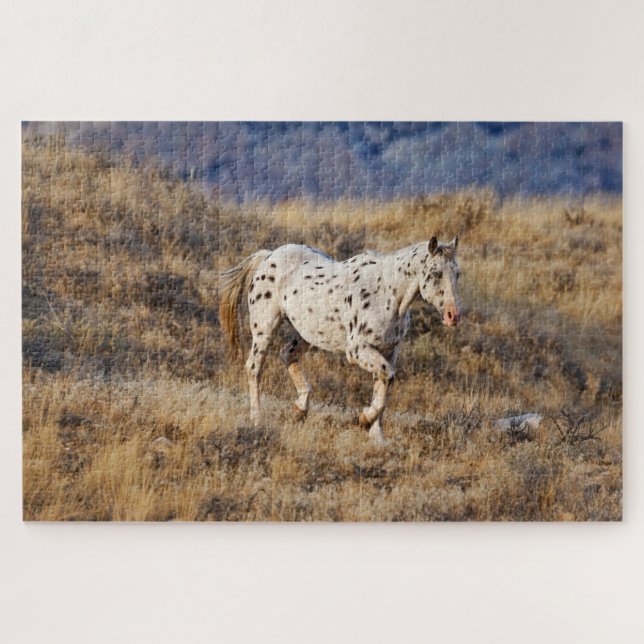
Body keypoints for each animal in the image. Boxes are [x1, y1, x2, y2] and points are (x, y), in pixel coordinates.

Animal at [219, 236, 462, 444]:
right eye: (435, 273)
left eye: (457, 274)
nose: (453, 315)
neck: (387, 293)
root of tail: (268, 256)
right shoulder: (357, 350)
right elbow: (386, 379)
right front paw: (364, 419)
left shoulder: (389, 351)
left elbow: (383, 385)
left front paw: (377, 437)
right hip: (264, 328)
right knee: (254, 368)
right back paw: (257, 420)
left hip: (307, 333)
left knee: (287, 353)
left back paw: (299, 410)